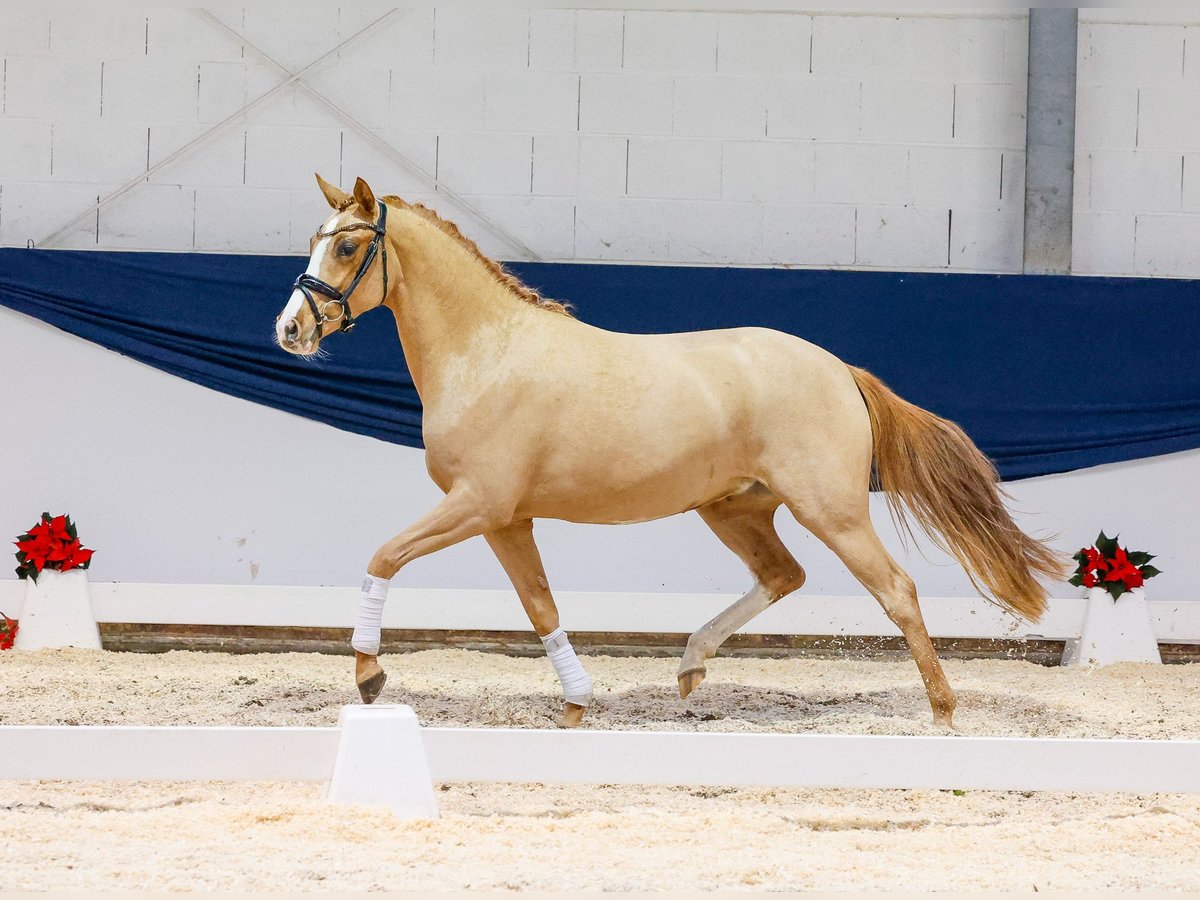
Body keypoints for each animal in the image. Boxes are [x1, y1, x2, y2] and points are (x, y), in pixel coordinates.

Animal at [276, 176, 1065, 734]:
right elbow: (540, 606)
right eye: (315, 238)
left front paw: (369, 676)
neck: (488, 354)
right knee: (783, 575)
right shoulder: (506, 519)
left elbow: (384, 556)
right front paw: (577, 704)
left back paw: (942, 712)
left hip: (831, 510)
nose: (290, 329)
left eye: (346, 247)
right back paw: (690, 667)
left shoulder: (478, 504)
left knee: (895, 590)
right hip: (734, 510)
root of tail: (840, 370)